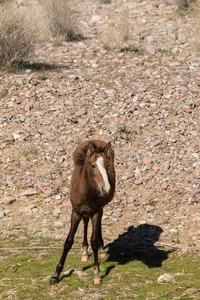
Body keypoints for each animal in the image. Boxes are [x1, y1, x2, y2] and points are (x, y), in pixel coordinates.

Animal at [50, 139, 115, 284]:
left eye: (108, 165)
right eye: (92, 165)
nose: (106, 188)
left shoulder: (95, 211)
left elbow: (94, 241)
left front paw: (96, 274)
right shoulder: (75, 212)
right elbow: (68, 242)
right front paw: (56, 274)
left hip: (99, 209)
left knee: (98, 223)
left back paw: (101, 250)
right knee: (86, 221)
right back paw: (84, 251)